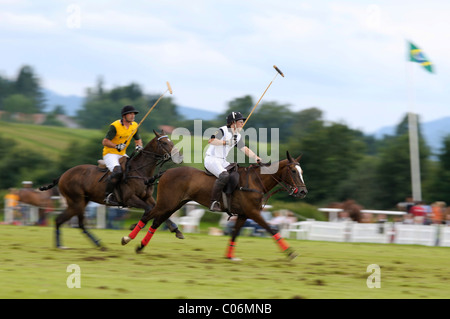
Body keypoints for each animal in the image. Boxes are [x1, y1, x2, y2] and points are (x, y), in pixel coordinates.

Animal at [39, 130, 184, 250]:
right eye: (164, 142)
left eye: (171, 141)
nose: (180, 157)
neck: (141, 172)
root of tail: (63, 175)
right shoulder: (130, 199)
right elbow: (149, 210)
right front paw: (132, 228)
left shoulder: (147, 197)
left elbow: (158, 210)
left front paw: (176, 230)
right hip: (77, 201)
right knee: (78, 223)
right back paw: (93, 244)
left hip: (80, 201)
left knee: (61, 220)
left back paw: (64, 244)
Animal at [121, 151, 308, 262]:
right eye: (293, 171)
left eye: (302, 172)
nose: (303, 192)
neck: (256, 181)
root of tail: (166, 171)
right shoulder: (253, 212)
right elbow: (271, 229)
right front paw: (290, 252)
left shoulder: (244, 214)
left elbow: (235, 233)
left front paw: (230, 256)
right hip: (166, 202)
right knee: (147, 215)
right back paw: (127, 239)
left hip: (174, 204)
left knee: (156, 221)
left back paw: (141, 246)